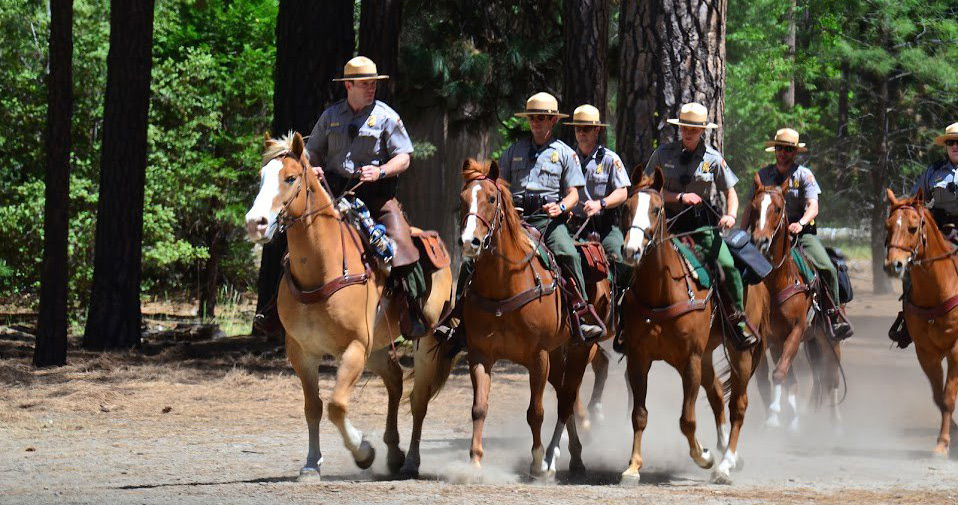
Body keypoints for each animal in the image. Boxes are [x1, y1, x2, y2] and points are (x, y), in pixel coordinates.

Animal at [246, 132, 460, 478]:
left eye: (290, 178)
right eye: (261, 177)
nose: (256, 223)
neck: (323, 267)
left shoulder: (354, 348)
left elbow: (336, 406)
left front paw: (363, 452)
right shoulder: (301, 351)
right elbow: (314, 407)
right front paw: (311, 464)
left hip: (425, 341)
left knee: (418, 400)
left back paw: (411, 461)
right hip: (377, 348)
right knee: (395, 380)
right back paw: (394, 453)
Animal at [458, 159, 608, 478]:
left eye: (492, 198)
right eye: (463, 199)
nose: (469, 242)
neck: (504, 285)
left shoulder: (538, 356)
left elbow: (535, 412)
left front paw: (537, 461)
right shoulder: (480, 354)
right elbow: (479, 408)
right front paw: (475, 461)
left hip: (579, 349)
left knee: (567, 399)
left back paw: (556, 457)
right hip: (558, 354)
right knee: (566, 395)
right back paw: (574, 457)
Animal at [620, 168, 768, 484]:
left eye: (656, 209)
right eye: (626, 208)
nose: (631, 250)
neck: (662, 291)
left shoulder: (690, 360)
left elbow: (687, 420)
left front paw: (704, 456)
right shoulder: (639, 359)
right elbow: (639, 414)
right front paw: (633, 466)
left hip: (740, 353)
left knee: (738, 405)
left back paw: (725, 463)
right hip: (708, 356)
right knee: (717, 396)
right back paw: (725, 450)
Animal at [752, 174, 840, 430]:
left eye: (777, 208)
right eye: (754, 207)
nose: (760, 240)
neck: (778, 282)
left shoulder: (797, 330)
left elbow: (780, 374)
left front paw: (774, 416)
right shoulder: (768, 339)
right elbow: (766, 378)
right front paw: (774, 417)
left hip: (829, 340)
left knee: (832, 378)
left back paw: (836, 424)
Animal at [888, 187, 958, 454]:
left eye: (912, 228)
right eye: (887, 226)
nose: (893, 264)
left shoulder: (956, 350)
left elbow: (948, 396)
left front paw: (943, 444)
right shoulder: (926, 352)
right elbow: (940, 398)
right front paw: (947, 438)